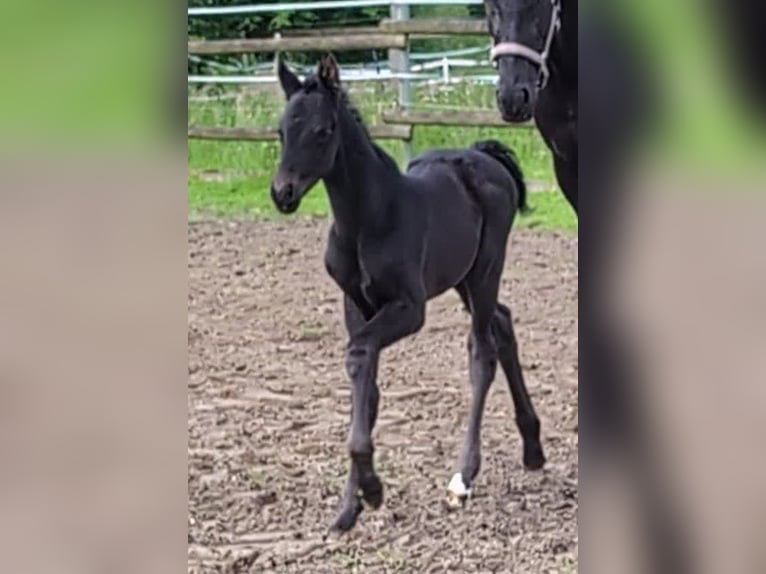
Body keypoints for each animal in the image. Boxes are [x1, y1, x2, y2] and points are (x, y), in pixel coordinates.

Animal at [270, 55, 544, 536]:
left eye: (322, 131)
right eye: (282, 131)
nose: (282, 193)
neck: (368, 219)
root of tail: (483, 154)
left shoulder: (409, 309)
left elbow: (360, 357)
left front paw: (372, 490)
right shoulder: (355, 305)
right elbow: (366, 383)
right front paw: (350, 507)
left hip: (486, 270)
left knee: (482, 351)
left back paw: (463, 478)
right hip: (462, 278)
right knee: (504, 322)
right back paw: (532, 447)